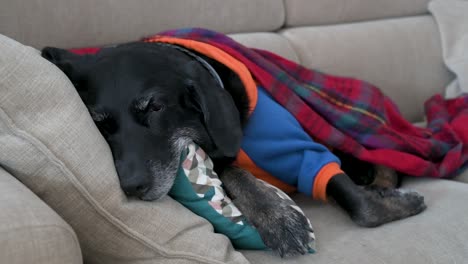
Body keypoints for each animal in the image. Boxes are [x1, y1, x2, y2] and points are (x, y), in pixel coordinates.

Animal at [42, 42, 426, 256]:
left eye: (154, 107)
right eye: (100, 124)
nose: (131, 187)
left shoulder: (295, 143)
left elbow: (360, 206)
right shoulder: (221, 153)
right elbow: (231, 169)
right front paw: (274, 215)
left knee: (386, 161)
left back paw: (382, 182)